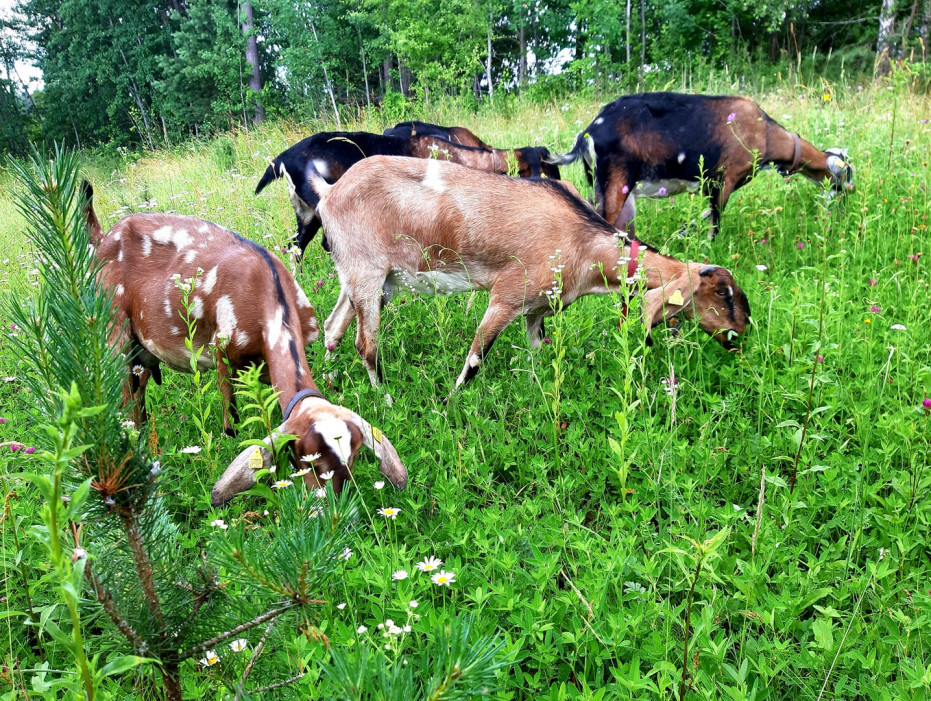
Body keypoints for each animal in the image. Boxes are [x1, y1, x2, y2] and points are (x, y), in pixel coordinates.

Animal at [83, 183, 408, 504]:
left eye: (354, 456)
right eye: (308, 460)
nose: (337, 505)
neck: (266, 291)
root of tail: (104, 236)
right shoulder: (221, 349)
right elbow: (231, 414)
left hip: (142, 352)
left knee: (137, 394)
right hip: (113, 329)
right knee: (123, 395)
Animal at [288, 155, 752, 392]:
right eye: (722, 294)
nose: (741, 336)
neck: (583, 241)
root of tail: (330, 191)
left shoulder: (537, 307)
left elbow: (536, 350)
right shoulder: (506, 295)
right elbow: (476, 357)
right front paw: (451, 404)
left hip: (365, 278)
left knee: (332, 328)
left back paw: (327, 381)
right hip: (367, 274)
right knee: (366, 345)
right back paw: (385, 399)